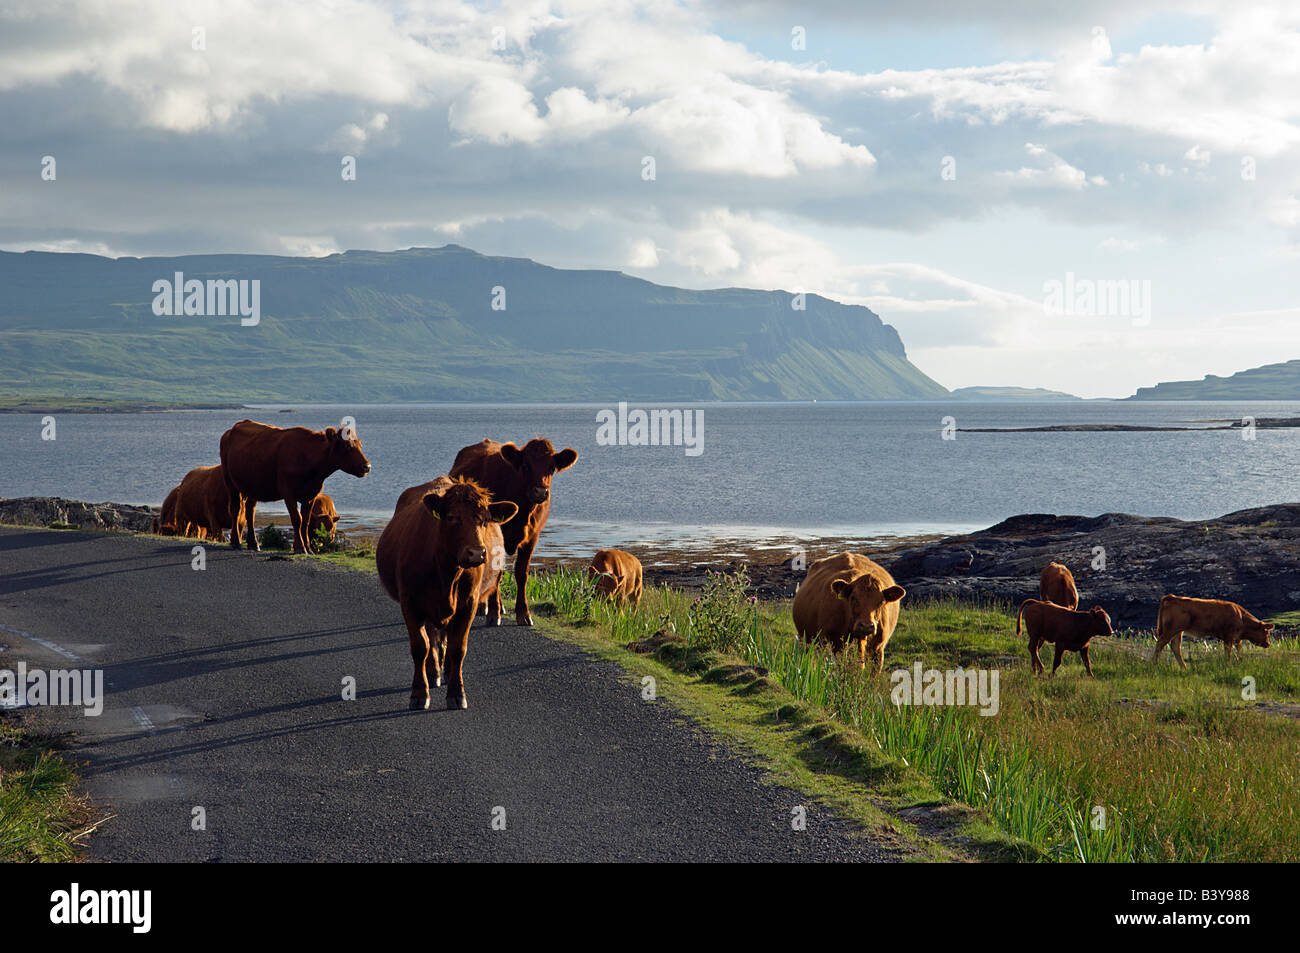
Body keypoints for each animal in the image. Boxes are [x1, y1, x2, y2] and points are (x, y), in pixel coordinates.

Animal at [219, 421, 371, 553]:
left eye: (360, 445)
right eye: (347, 446)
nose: (367, 466)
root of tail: (231, 430)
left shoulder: (311, 494)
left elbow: (306, 522)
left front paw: (309, 548)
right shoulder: (288, 492)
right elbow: (297, 519)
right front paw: (300, 547)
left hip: (253, 486)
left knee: (250, 511)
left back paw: (253, 543)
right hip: (230, 482)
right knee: (236, 509)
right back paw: (236, 542)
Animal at [374, 475, 514, 707]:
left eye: (485, 520)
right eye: (452, 517)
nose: (477, 553)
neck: (447, 573)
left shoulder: (468, 604)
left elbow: (458, 648)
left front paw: (457, 693)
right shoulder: (410, 603)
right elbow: (420, 647)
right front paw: (419, 693)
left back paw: (446, 672)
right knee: (432, 638)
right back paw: (434, 673)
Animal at [449, 436, 577, 624]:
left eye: (552, 467)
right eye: (525, 466)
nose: (540, 492)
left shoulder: (532, 537)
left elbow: (521, 573)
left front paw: (523, 614)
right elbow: (498, 572)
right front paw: (493, 613)